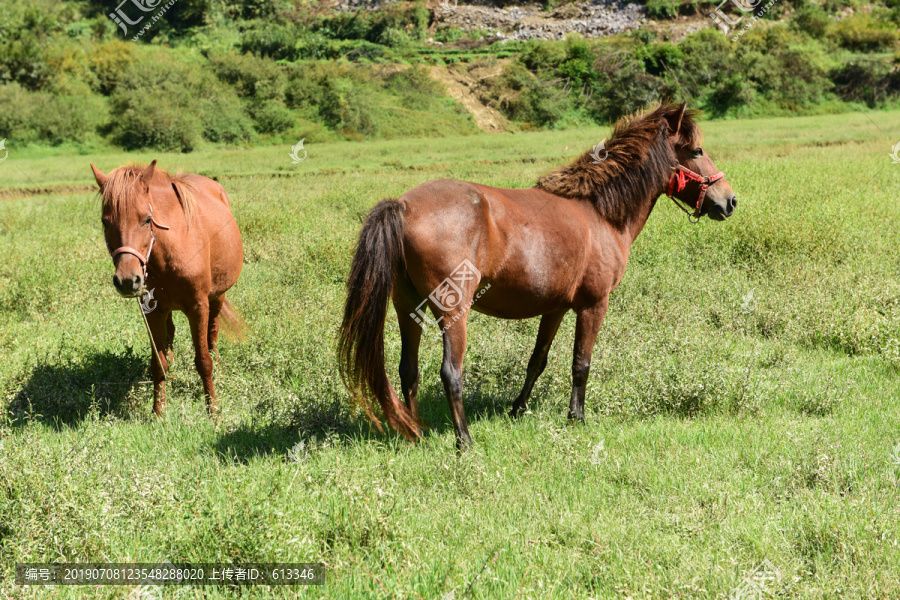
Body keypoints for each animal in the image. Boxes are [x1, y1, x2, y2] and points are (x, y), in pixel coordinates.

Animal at [90, 160, 244, 417]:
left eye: (146, 219)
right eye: (105, 221)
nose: (127, 280)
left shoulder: (198, 307)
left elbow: (203, 361)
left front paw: (213, 411)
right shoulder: (152, 311)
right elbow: (158, 363)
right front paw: (159, 412)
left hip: (218, 297)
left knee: (212, 334)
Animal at [338, 103, 737, 450]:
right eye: (697, 150)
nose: (729, 201)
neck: (600, 213)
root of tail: (403, 206)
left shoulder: (554, 308)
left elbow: (537, 360)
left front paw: (517, 409)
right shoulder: (594, 305)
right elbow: (581, 363)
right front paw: (577, 417)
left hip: (408, 307)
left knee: (409, 370)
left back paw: (416, 433)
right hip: (453, 312)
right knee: (450, 372)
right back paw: (463, 441)